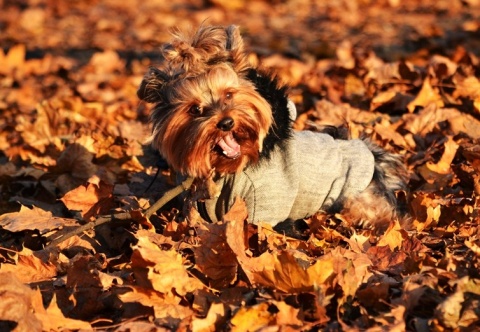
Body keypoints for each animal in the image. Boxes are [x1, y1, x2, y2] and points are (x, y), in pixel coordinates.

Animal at [137, 24, 406, 233]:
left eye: (229, 94)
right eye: (194, 109)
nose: (226, 122)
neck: (225, 170)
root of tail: (371, 153)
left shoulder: (265, 203)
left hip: (355, 195)